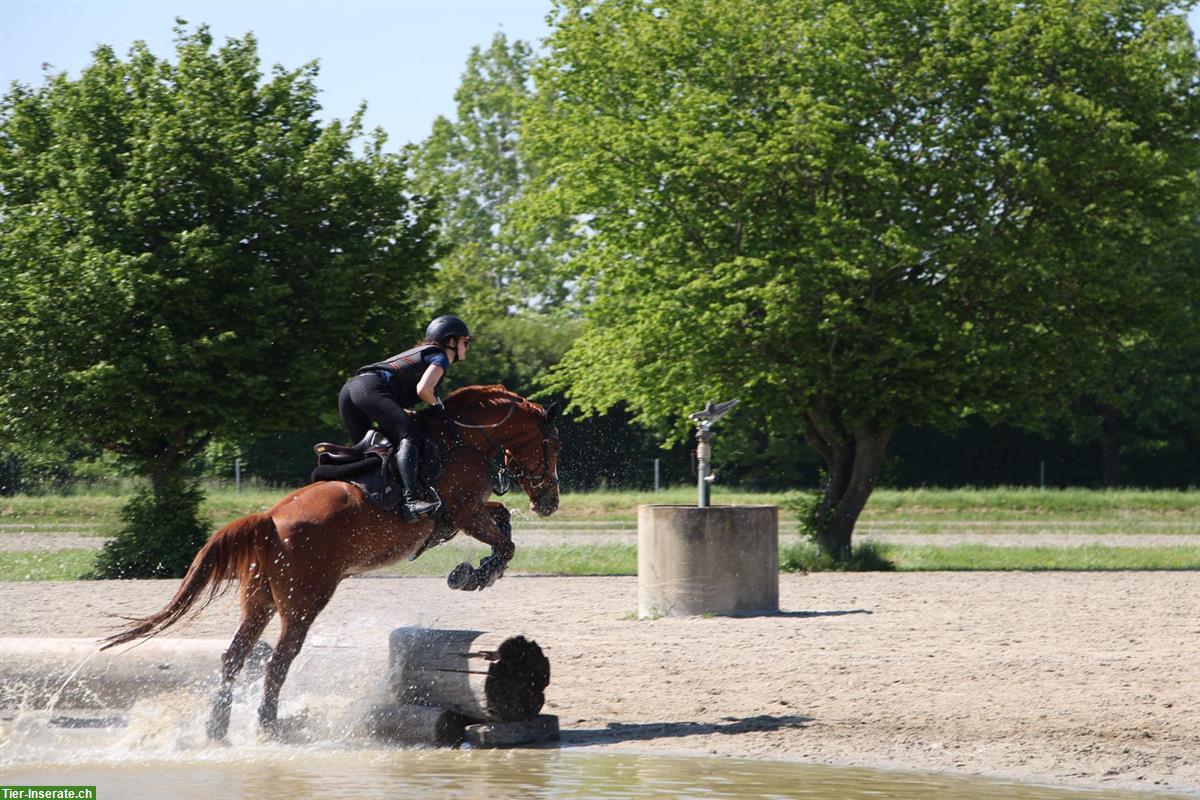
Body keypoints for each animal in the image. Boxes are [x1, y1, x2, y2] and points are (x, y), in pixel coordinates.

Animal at [100, 383, 559, 743]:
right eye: (552, 445)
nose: (550, 503)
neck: (463, 439)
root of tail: (268, 520)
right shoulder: (463, 512)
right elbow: (503, 541)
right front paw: (471, 576)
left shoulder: (467, 514)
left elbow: (503, 521)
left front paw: (478, 570)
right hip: (304, 600)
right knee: (279, 661)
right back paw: (269, 727)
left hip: (260, 600)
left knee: (234, 657)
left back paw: (218, 730)